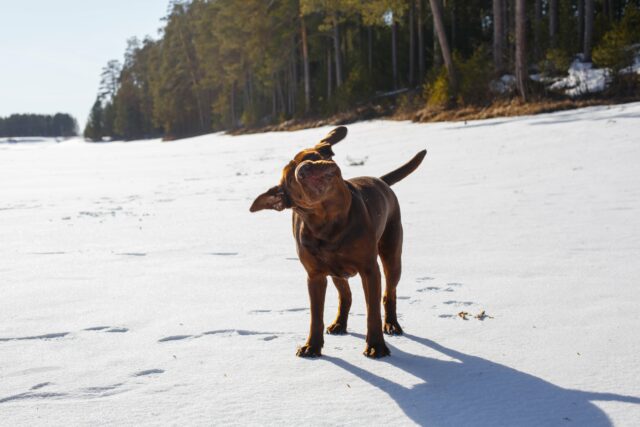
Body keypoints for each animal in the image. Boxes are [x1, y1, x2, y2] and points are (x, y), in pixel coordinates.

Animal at [250, 127, 424, 358]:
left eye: (312, 156)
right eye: (290, 181)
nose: (304, 169)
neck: (329, 223)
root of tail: (381, 180)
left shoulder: (369, 270)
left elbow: (372, 312)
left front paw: (376, 345)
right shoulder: (315, 276)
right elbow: (316, 316)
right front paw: (312, 346)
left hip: (391, 254)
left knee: (389, 292)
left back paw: (392, 324)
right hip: (336, 273)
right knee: (346, 296)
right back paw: (340, 324)